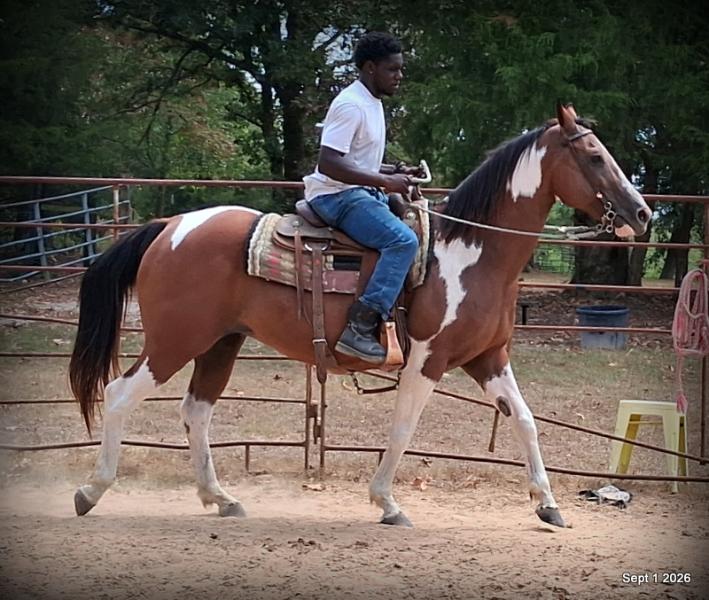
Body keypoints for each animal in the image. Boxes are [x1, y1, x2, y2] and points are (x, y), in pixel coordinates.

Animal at [69, 103, 651, 528]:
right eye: (594, 156)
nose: (642, 212)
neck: (471, 253)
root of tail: (169, 228)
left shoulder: (488, 358)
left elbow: (526, 421)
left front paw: (548, 505)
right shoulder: (428, 361)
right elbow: (404, 428)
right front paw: (387, 503)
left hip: (220, 343)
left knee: (197, 411)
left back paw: (221, 498)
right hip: (174, 341)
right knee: (120, 395)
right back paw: (91, 491)